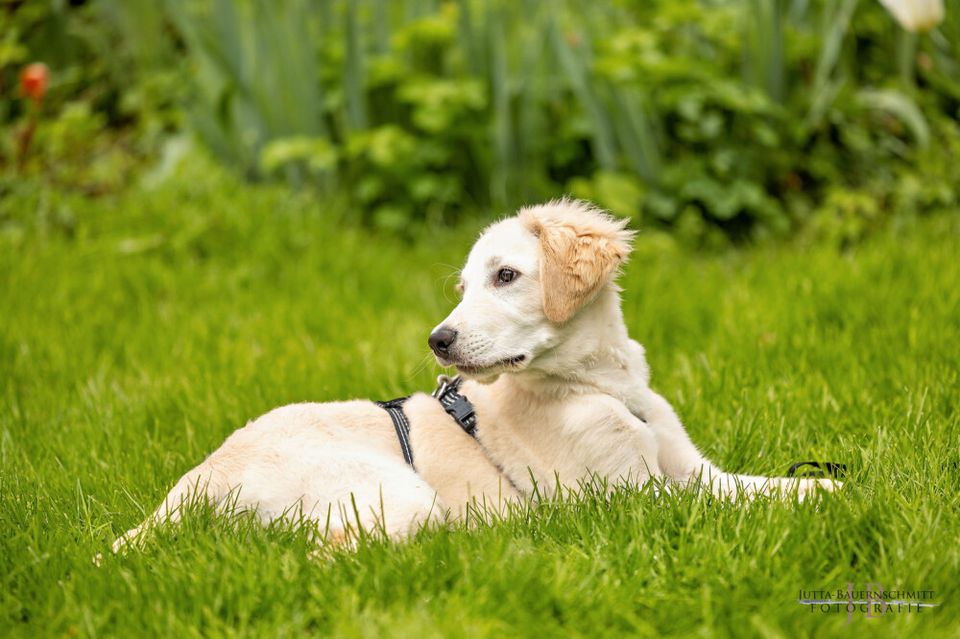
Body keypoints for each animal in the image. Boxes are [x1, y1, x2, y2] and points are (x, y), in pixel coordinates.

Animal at [107, 200, 840, 556]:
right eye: (465, 286)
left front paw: (833, 489)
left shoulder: (689, 469)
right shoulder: (629, 499)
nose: (438, 342)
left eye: (505, 275)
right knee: (324, 553)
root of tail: (190, 489)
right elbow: (724, 506)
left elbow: (761, 488)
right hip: (396, 494)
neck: (598, 384)